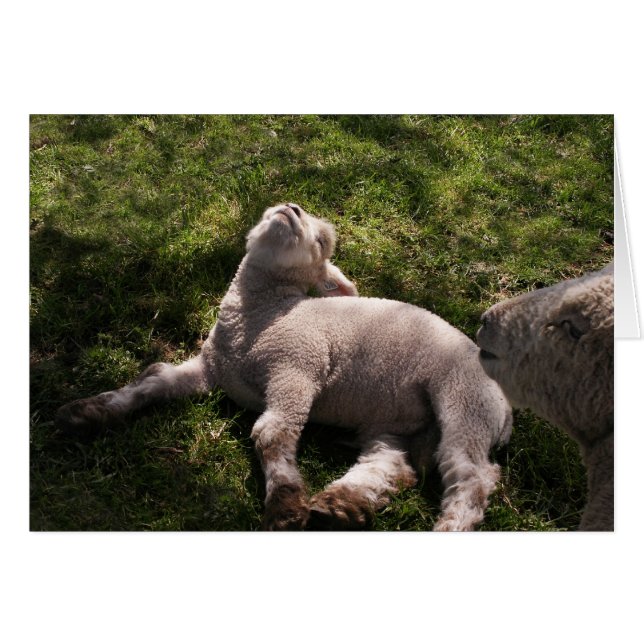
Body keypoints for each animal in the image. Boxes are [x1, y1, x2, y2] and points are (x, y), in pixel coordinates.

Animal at [57, 203, 513, 531]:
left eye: (322, 240)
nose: (290, 208)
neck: (257, 319)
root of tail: (505, 409)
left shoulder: (297, 367)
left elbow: (271, 433)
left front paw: (284, 505)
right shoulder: (211, 368)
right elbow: (152, 380)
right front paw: (86, 412)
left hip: (464, 402)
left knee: (472, 475)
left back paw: (449, 526)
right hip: (398, 423)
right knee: (392, 464)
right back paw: (341, 506)